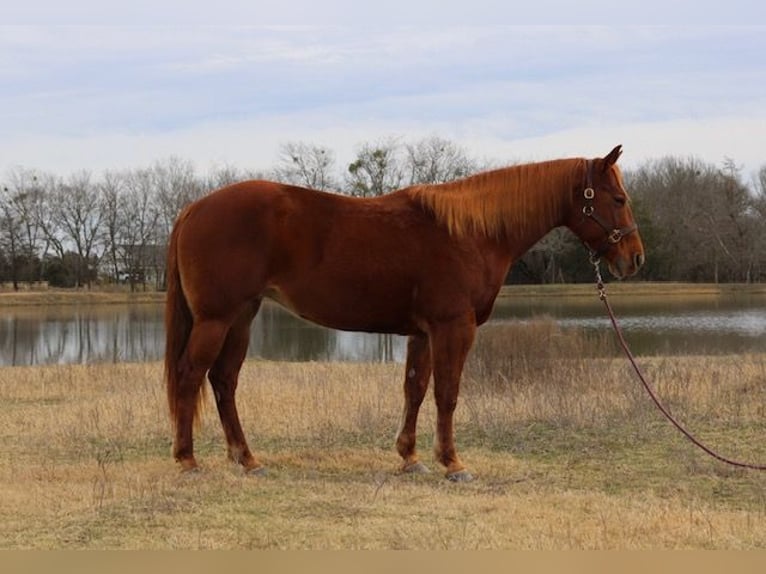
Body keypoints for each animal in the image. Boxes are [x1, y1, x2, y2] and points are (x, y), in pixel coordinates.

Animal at [164, 144, 644, 481]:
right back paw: (187, 461)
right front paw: (453, 463)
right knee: (190, 376)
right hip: (216, 319)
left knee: (224, 381)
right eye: (618, 198)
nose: (635, 259)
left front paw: (410, 458)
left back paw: (247, 459)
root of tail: (192, 208)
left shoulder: (423, 332)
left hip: (241, 318)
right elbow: (447, 394)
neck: (471, 233)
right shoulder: (454, 327)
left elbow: (414, 389)